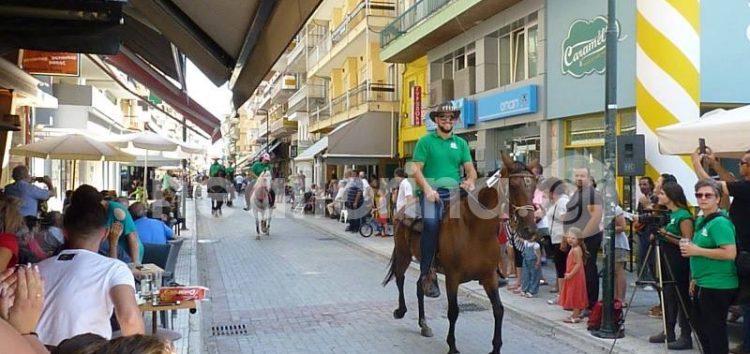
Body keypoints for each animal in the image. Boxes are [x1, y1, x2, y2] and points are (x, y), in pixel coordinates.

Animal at [384, 153, 536, 354]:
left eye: (534, 186)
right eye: (514, 186)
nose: (530, 230)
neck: (475, 230)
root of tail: (401, 209)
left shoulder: (489, 277)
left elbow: (498, 309)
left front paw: (496, 347)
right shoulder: (452, 278)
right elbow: (453, 311)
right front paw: (452, 346)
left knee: (419, 285)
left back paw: (424, 324)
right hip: (403, 254)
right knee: (400, 278)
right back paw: (401, 311)